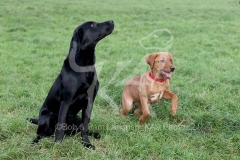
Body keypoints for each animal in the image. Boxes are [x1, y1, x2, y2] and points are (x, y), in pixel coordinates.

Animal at [27, 20, 114, 150]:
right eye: (92, 25)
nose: (112, 21)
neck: (84, 67)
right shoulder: (66, 101)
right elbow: (60, 127)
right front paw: (57, 145)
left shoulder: (89, 101)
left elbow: (85, 126)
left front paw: (87, 143)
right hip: (47, 117)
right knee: (41, 134)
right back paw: (35, 142)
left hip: (76, 118)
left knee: (78, 129)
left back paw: (95, 134)